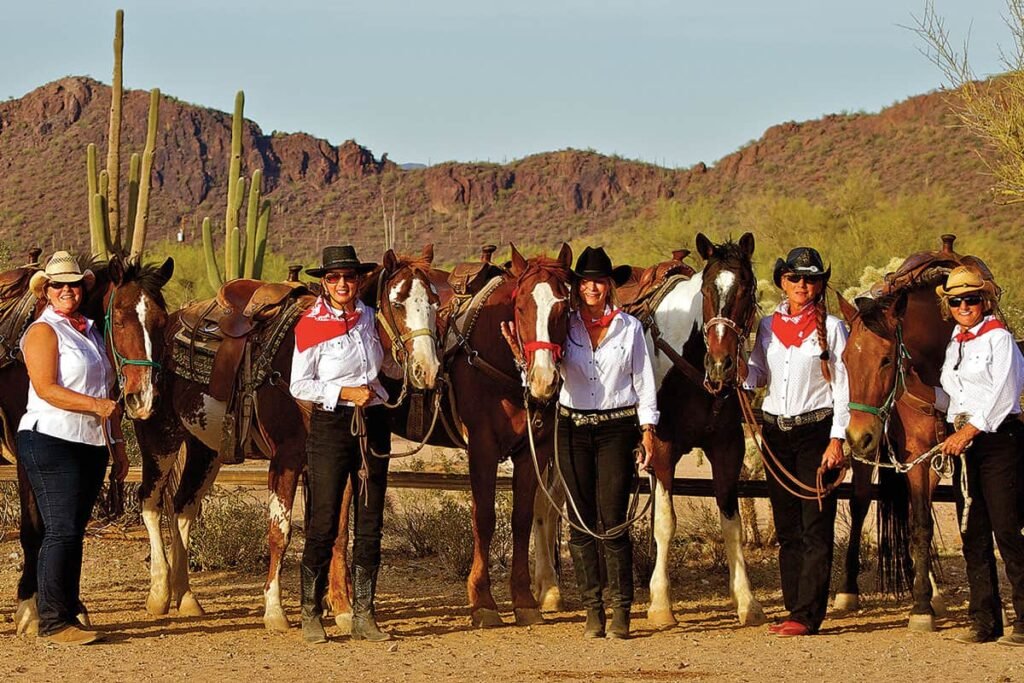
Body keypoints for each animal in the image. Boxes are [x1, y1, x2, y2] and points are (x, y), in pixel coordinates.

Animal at [132, 245, 444, 630]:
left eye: (434, 302)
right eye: (398, 302)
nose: (427, 370)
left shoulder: (333, 466)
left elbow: (337, 533)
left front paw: (341, 610)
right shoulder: (286, 459)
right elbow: (280, 532)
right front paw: (275, 611)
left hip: (205, 449)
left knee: (183, 507)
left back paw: (187, 597)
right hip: (159, 438)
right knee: (150, 502)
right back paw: (160, 594)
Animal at [835, 236, 987, 630]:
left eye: (886, 359)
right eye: (845, 359)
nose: (858, 435)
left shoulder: (945, 453)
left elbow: (932, 521)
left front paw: (926, 599)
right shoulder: (915, 454)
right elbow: (919, 523)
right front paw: (920, 606)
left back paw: (932, 590)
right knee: (860, 503)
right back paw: (847, 590)